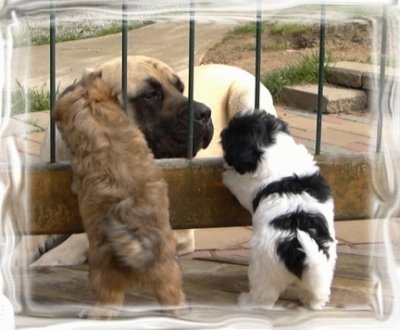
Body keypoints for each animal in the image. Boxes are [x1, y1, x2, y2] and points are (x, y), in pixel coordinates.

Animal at [11, 58, 276, 266]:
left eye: (180, 88)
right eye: (151, 95)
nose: (205, 113)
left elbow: (83, 241)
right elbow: (29, 238)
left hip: (244, 97)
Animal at [52, 70, 185, 320]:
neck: (98, 115)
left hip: (101, 272)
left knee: (109, 301)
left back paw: (93, 313)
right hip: (167, 270)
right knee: (172, 295)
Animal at [220, 110, 336, 310]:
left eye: (232, 134)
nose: (222, 132)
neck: (274, 146)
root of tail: (296, 250)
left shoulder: (247, 184)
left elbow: (236, 181)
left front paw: (226, 174)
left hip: (263, 266)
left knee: (264, 296)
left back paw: (248, 301)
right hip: (323, 266)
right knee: (317, 289)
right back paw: (312, 301)